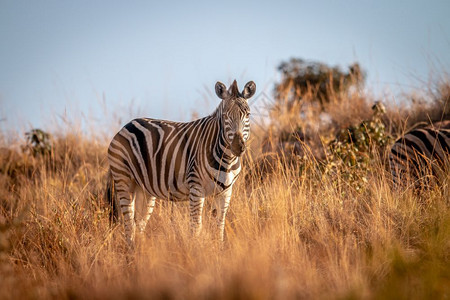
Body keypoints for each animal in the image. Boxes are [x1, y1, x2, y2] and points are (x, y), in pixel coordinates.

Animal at [104, 80, 253, 246]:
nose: (238, 147)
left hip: (144, 188)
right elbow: (196, 226)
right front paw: (196, 249)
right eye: (226, 115)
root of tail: (126, 125)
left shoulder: (225, 191)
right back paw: (131, 250)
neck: (226, 159)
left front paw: (218, 249)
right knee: (128, 222)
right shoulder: (196, 188)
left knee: (139, 222)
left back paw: (140, 250)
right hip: (123, 178)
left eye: (248, 114)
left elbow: (219, 226)